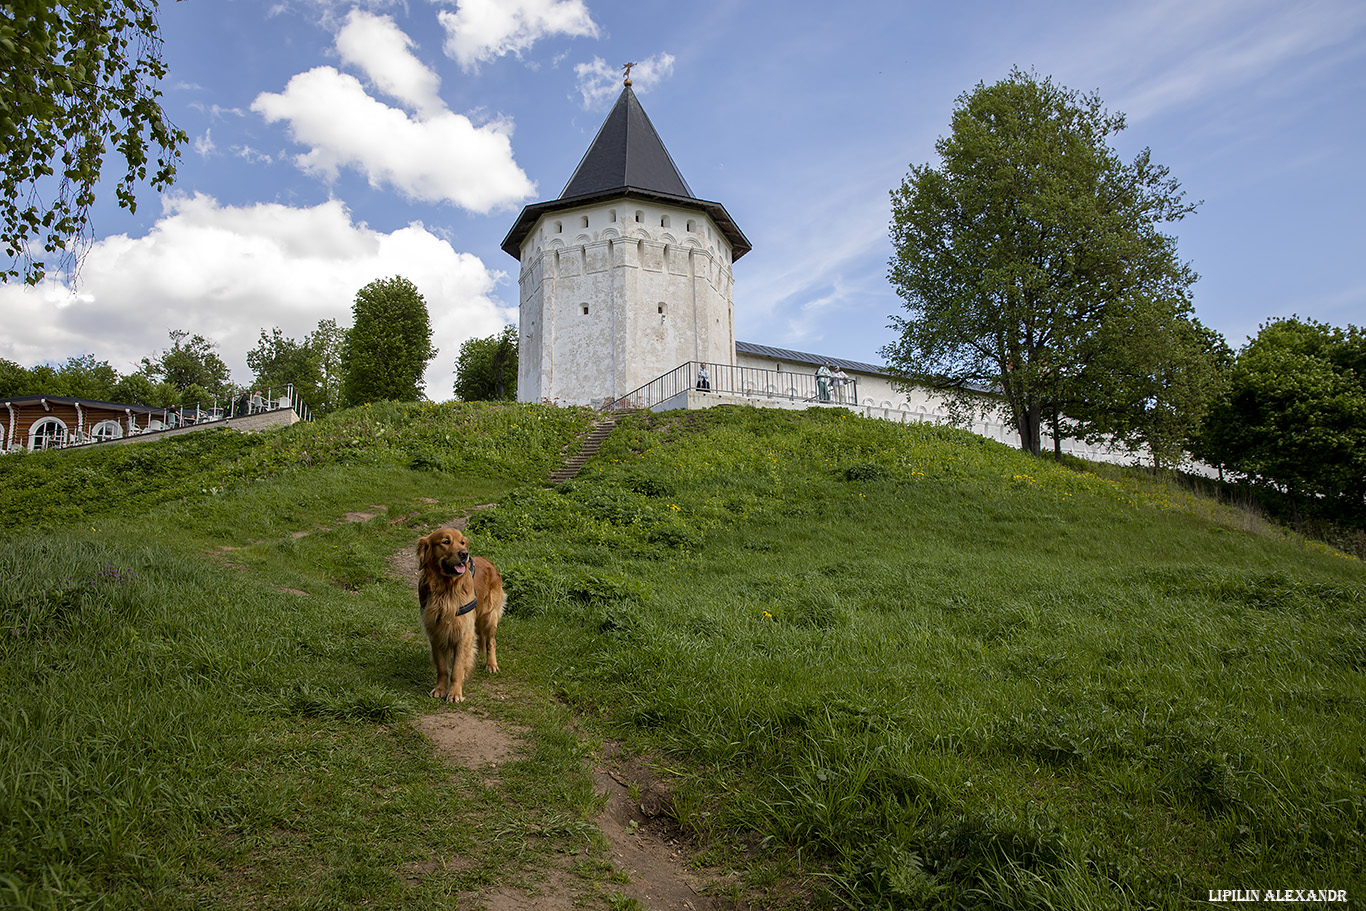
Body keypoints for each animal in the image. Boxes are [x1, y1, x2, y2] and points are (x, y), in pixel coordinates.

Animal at [415, 529, 508, 704]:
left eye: (462, 542)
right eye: (446, 542)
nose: (464, 554)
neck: (445, 590)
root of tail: (489, 562)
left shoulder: (463, 634)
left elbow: (457, 669)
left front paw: (455, 693)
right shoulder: (436, 634)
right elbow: (443, 668)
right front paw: (440, 689)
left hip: (489, 618)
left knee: (491, 641)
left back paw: (491, 664)